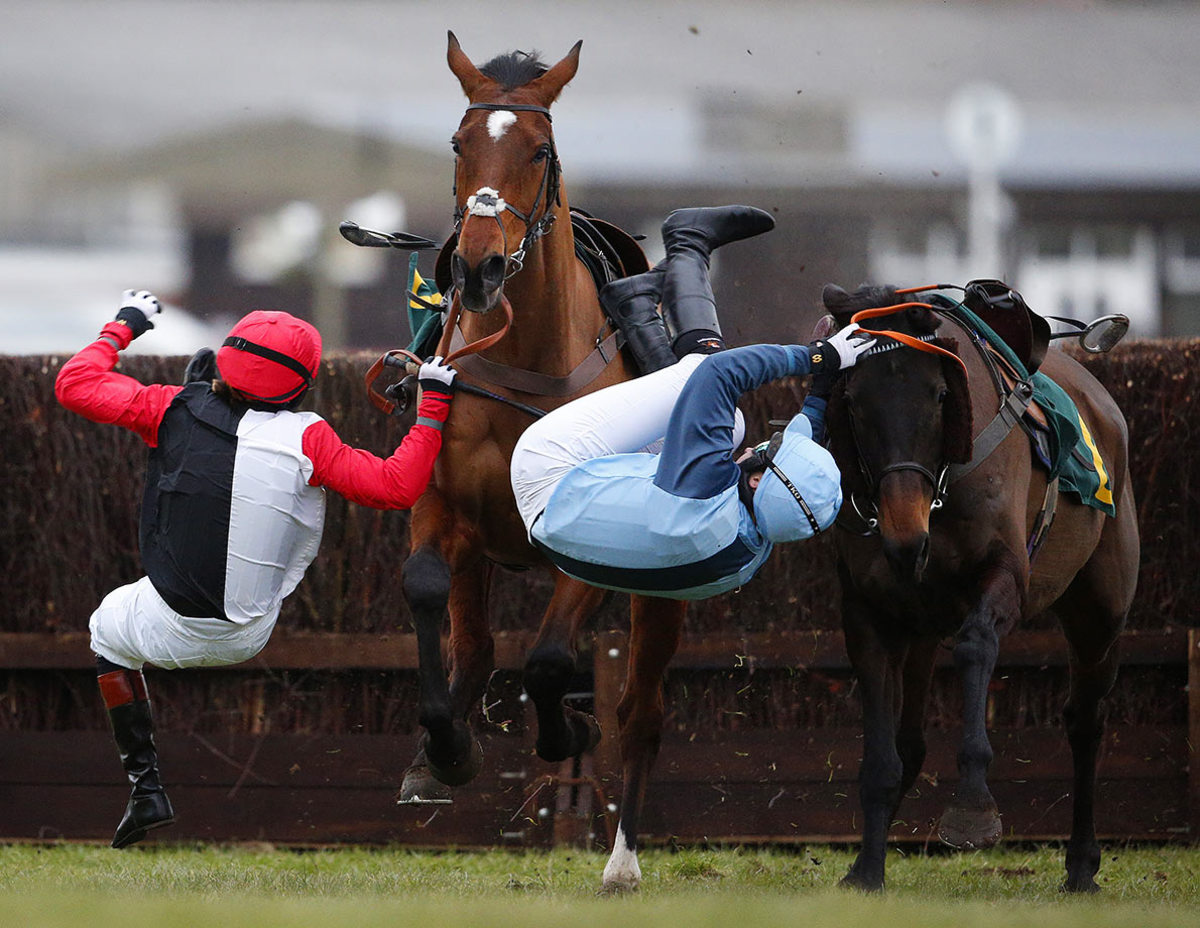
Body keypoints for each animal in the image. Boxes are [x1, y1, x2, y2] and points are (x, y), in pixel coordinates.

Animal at [398, 34, 691, 888]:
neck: (526, 364)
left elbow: (554, 659)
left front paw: (568, 735)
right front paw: (443, 750)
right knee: (477, 639)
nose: (480, 269)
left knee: (643, 711)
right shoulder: (445, 505)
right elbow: (432, 595)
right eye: (459, 143)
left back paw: (622, 862)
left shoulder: (586, 541)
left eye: (540, 149)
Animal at [820, 280, 1137, 888]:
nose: (904, 533)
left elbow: (974, 645)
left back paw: (1082, 863)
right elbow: (883, 751)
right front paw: (866, 869)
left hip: (1102, 607)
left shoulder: (1007, 573)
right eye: (852, 402)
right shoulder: (869, 607)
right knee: (911, 741)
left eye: (941, 395)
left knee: (1085, 719)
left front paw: (971, 808)